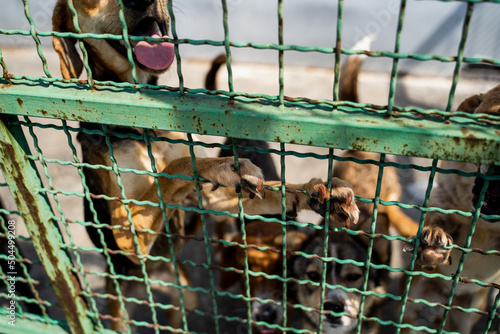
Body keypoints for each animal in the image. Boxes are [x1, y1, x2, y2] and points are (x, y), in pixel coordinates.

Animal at [400, 84, 500, 334]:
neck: (486, 225)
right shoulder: (443, 204)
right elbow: (439, 221)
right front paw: (434, 241)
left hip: (464, 318)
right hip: (410, 300)